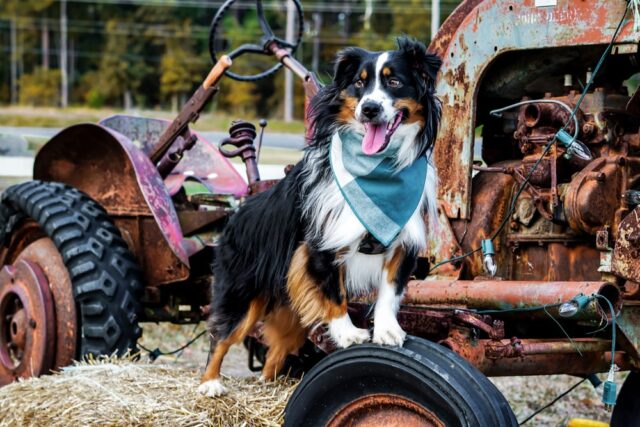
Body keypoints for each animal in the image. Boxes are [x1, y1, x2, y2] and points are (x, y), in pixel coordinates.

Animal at [199, 36, 440, 398]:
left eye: (395, 82)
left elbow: (389, 290)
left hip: (288, 304)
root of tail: (235, 215)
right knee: (222, 334)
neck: (378, 171)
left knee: (276, 350)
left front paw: (387, 330)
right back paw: (210, 383)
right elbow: (334, 292)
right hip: (241, 291)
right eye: (359, 84)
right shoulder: (320, 246)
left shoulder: (401, 243)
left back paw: (271, 385)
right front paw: (348, 334)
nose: (369, 109)